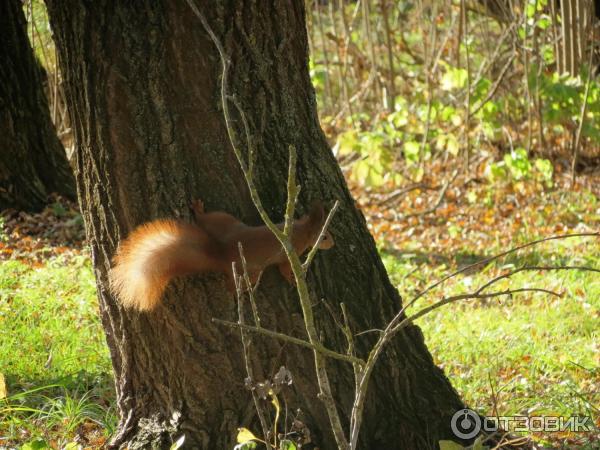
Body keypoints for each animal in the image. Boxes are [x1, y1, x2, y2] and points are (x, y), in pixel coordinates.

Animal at [108, 199, 332, 312]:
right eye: (324, 237)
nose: (333, 244)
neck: (302, 229)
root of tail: (220, 252)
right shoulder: (288, 255)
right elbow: (285, 269)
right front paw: (294, 279)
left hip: (223, 222)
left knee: (205, 219)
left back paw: (197, 209)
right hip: (243, 268)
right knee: (231, 286)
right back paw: (240, 294)